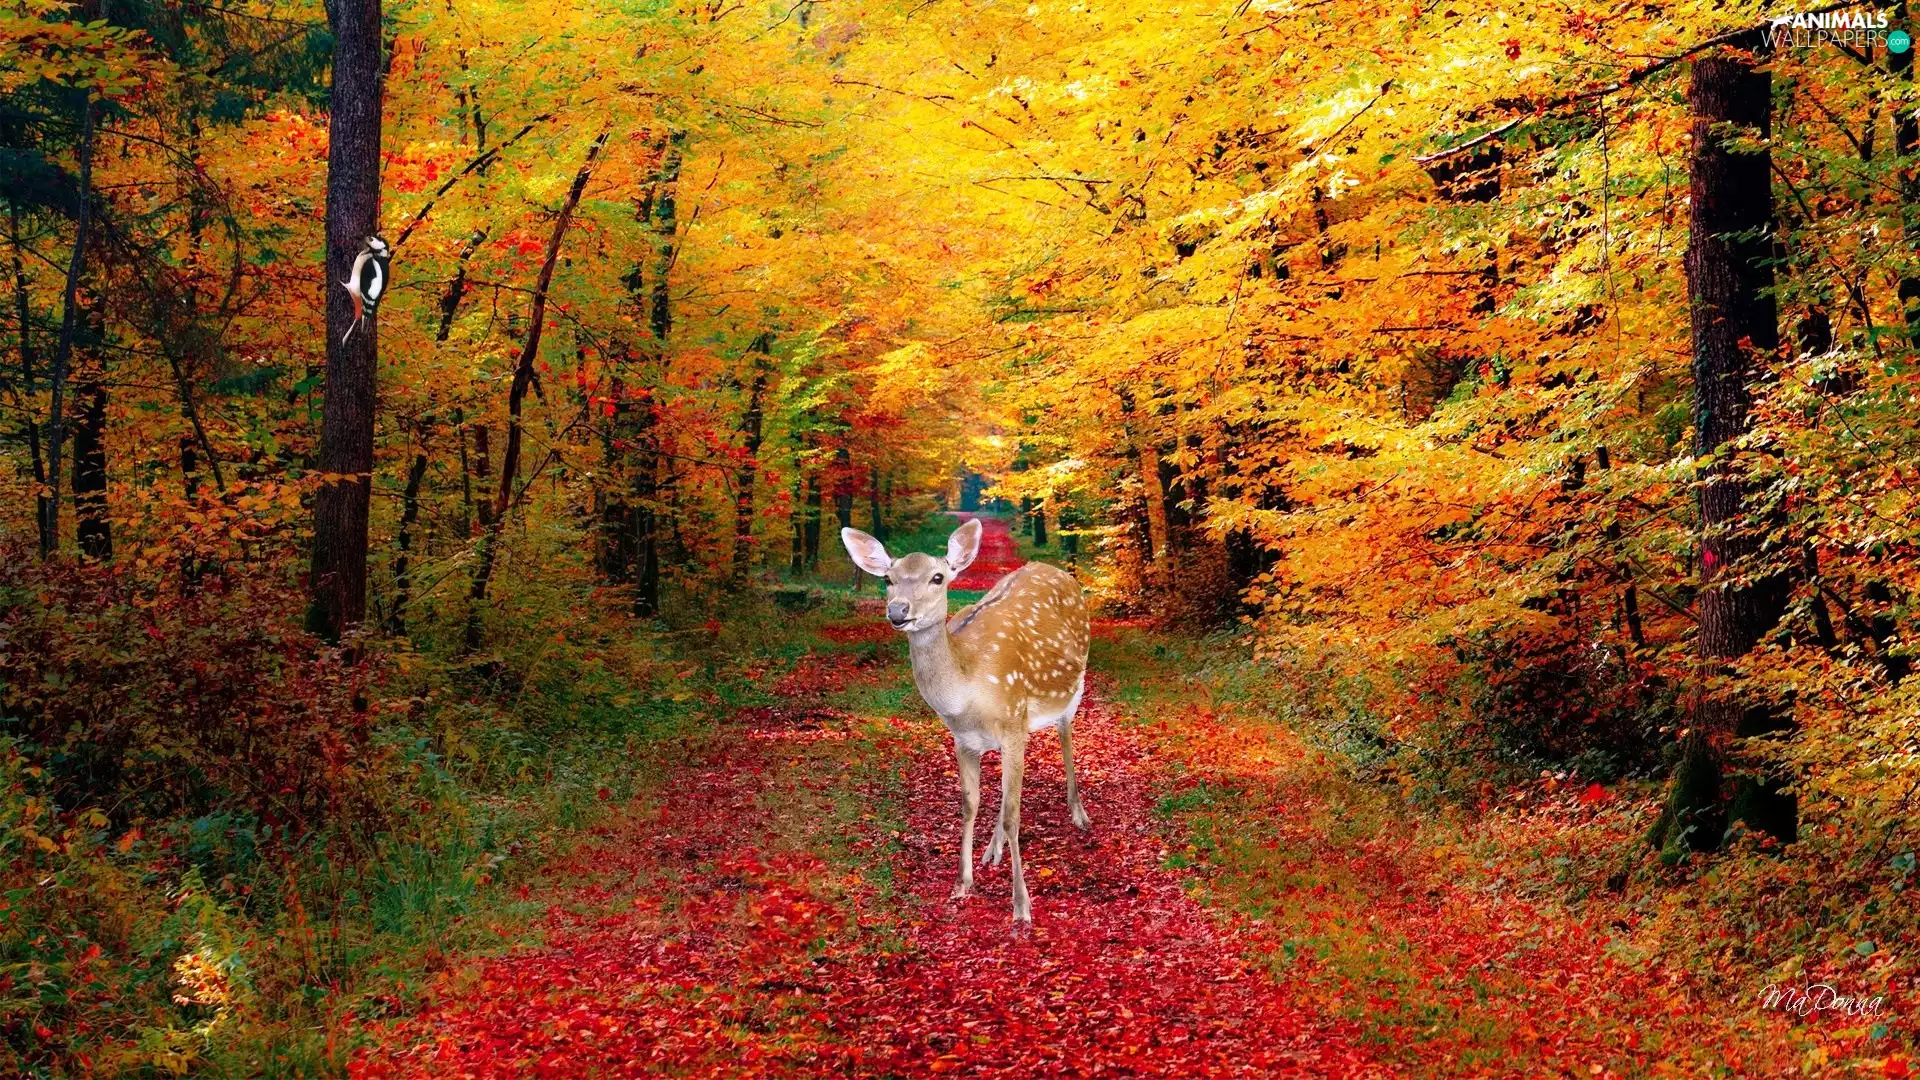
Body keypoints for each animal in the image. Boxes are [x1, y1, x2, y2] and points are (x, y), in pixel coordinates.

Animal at [840, 517, 1091, 923]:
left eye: (938, 577)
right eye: (888, 578)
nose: (898, 611)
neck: (967, 690)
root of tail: (1057, 570)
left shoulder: (1013, 723)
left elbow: (1013, 814)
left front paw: (1021, 904)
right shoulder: (964, 739)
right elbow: (971, 804)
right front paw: (963, 883)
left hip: (1073, 685)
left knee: (1066, 733)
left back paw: (1079, 813)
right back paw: (993, 850)